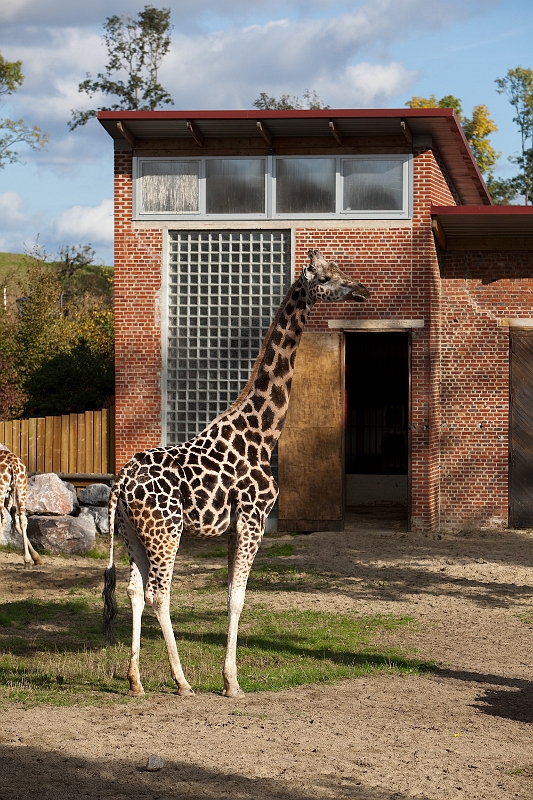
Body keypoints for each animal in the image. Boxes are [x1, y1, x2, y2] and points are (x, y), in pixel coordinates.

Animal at [103, 248, 370, 698]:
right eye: (326, 277)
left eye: (341, 269)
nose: (362, 289)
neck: (262, 433)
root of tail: (121, 481)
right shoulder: (253, 520)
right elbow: (237, 599)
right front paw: (232, 683)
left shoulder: (233, 528)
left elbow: (229, 594)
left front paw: (227, 678)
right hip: (166, 532)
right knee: (159, 593)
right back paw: (182, 682)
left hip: (131, 533)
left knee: (135, 590)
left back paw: (136, 680)